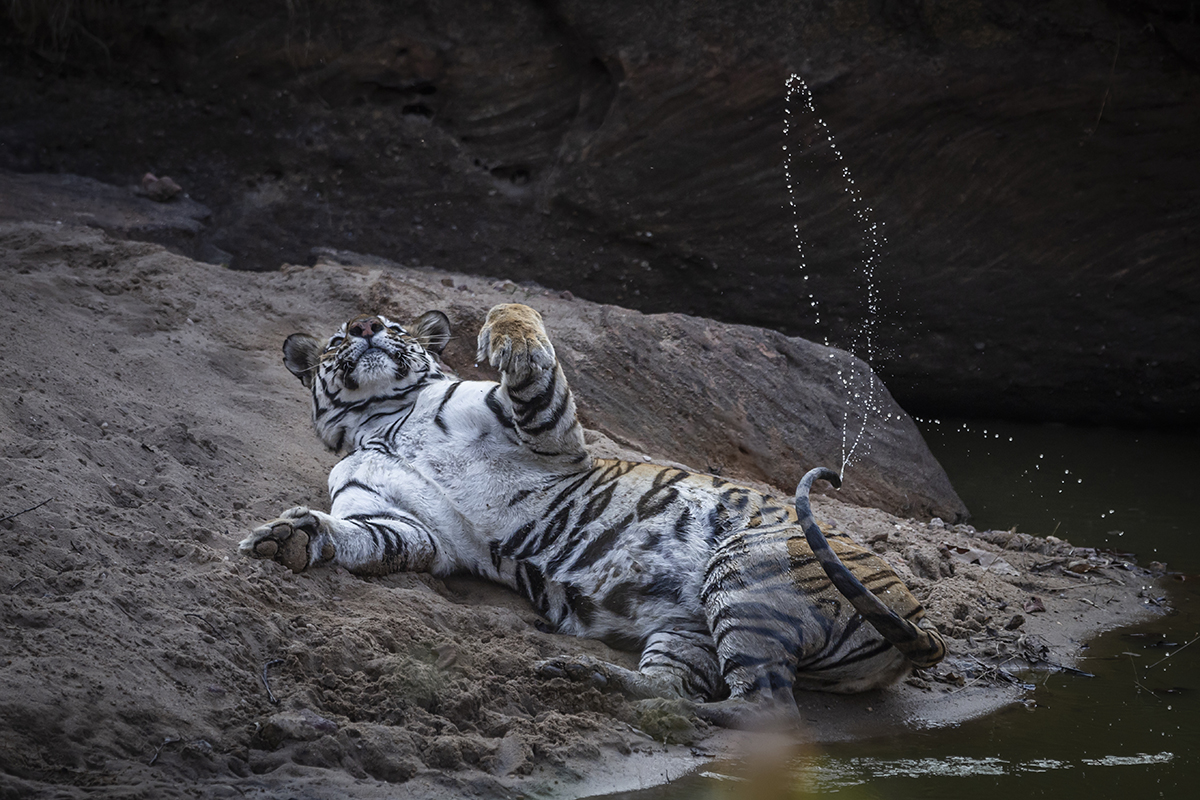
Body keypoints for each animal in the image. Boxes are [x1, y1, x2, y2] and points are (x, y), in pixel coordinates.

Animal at [239, 302, 946, 726]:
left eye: (394, 326)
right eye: (338, 338)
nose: (363, 326)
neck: (382, 416)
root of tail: (917, 615)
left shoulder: (547, 436)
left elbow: (528, 349)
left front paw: (502, 324)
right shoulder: (411, 527)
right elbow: (359, 539)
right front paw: (289, 538)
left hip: (747, 565)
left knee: (764, 712)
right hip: (691, 624)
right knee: (687, 690)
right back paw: (588, 678)